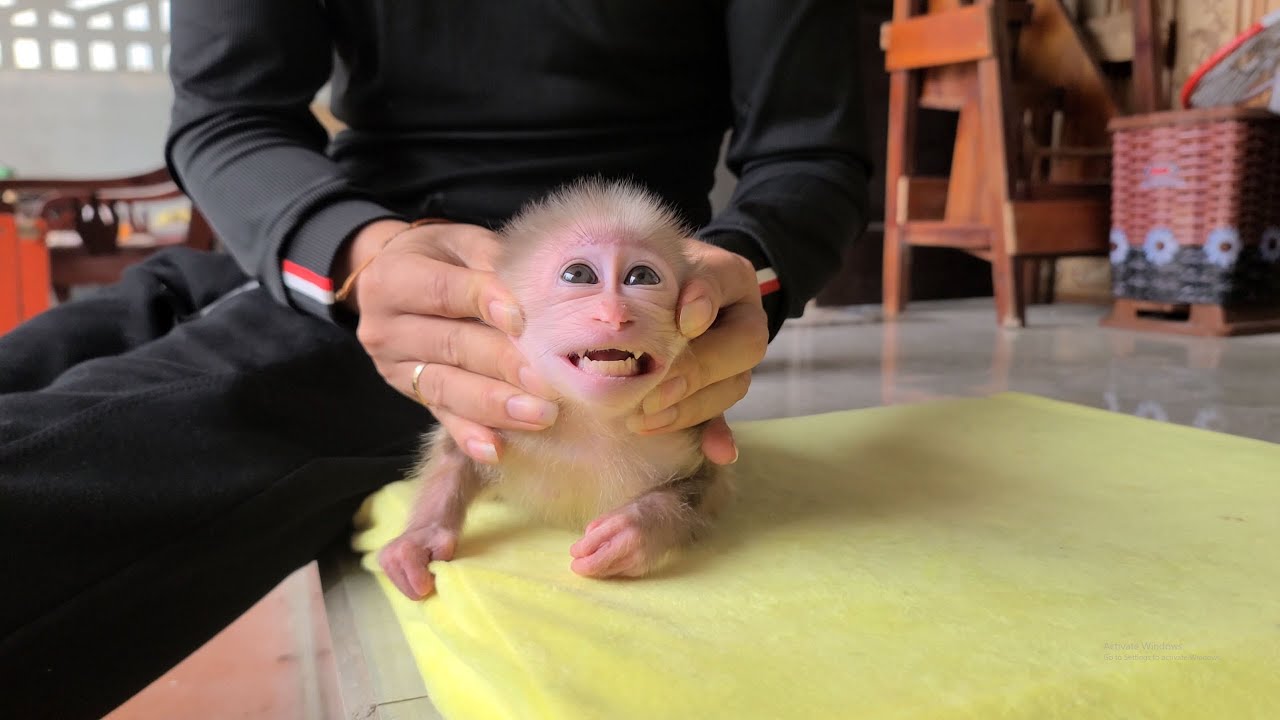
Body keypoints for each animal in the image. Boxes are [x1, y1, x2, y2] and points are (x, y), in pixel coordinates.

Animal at [377, 178, 734, 601]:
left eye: (642, 278)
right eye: (579, 275)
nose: (614, 315)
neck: (592, 421)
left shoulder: (682, 433)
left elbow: (707, 489)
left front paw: (636, 530)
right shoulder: (505, 422)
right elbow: (460, 453)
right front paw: (423, 536)